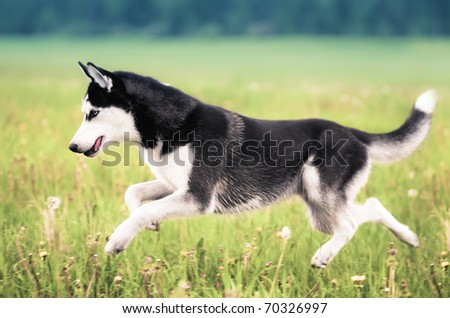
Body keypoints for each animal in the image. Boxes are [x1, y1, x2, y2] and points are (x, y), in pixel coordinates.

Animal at [67, 61, 436, 266]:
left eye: (93, 113)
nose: (72, 147)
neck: (174, 123)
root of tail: (353, 132)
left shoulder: (197, 197)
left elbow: (140, 210)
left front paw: (118, 240)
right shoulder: (174, 186)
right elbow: (134, 195)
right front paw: (150, 225)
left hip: (321, 193)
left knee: (349, 225)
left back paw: (324, 256)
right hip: (319, 209)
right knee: (368, 209)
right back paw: (408, 237)